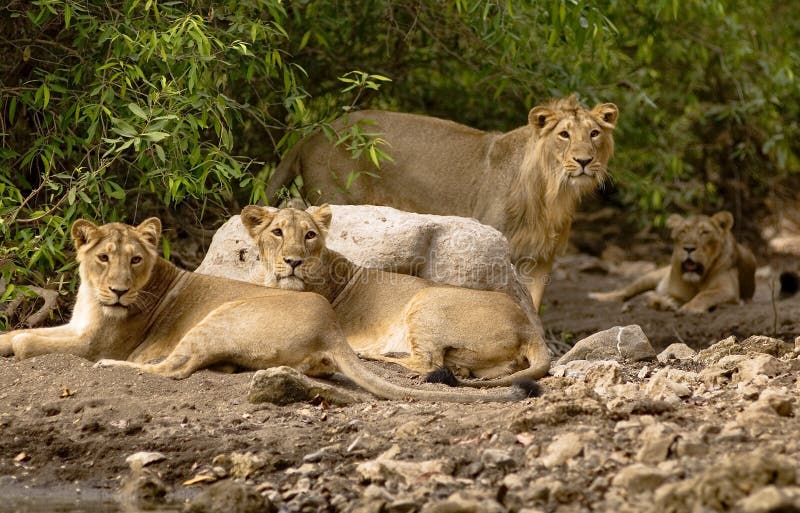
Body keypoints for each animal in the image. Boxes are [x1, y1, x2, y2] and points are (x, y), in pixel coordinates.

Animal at [1, 215, 532, 400]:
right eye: (103, 257)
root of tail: (328, 326)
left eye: (135, 259)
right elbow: (19, 333)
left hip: (221, 317)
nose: (116, 291)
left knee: (174, 368)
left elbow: (29, 340)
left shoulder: (92, 341)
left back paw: (119, 368)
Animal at [242, 203, 552, 384]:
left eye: (310, 235)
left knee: (426, 362)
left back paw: (372, 353)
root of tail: (528, 326)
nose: (294, 262)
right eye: (277, 232)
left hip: (426, 300)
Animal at [268, 94, 620, 308]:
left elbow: (532, 304)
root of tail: (310, 135)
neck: (551, 193)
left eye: (594, 133)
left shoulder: (542, 258)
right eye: (564, 134)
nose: (585, 161)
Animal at [588, 211, 756, 314]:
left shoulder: (728, 290)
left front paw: (690, 307)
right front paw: (666, 303)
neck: (696, 280)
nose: (688, 248)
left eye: (704, 232)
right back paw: (599, 297)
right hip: (649, 277)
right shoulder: (675, 291)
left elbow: (706, 294)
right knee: (624, 292)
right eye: (683, 231)